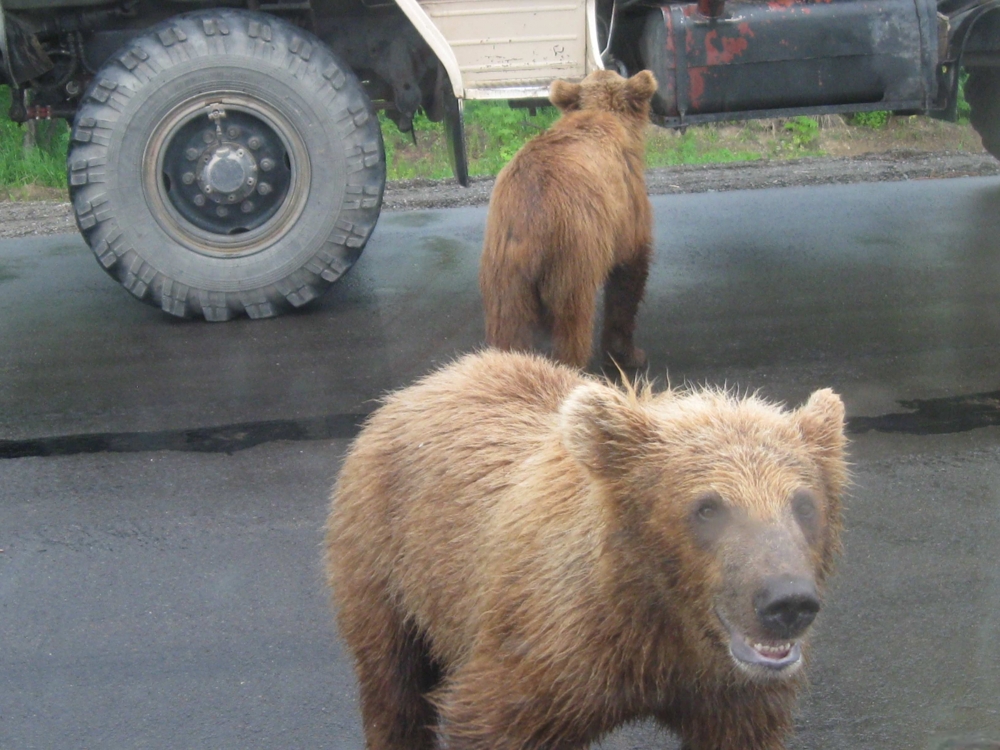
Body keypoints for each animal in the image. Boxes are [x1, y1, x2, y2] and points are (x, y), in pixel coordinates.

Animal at [324, 350, 848, 748]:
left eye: (804, 504)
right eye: (708, 508)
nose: (786, 601)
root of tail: (418, 386)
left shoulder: (732, 697)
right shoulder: (547, 653)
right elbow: (486, 715)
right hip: (386, 560)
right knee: (393, 686)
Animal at [480, 69, 660, 368]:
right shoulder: (627, 206)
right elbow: (629, 274)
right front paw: (630, 353)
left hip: (504, 268)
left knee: (508, 328)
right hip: (571, 256)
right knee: (572, 325)